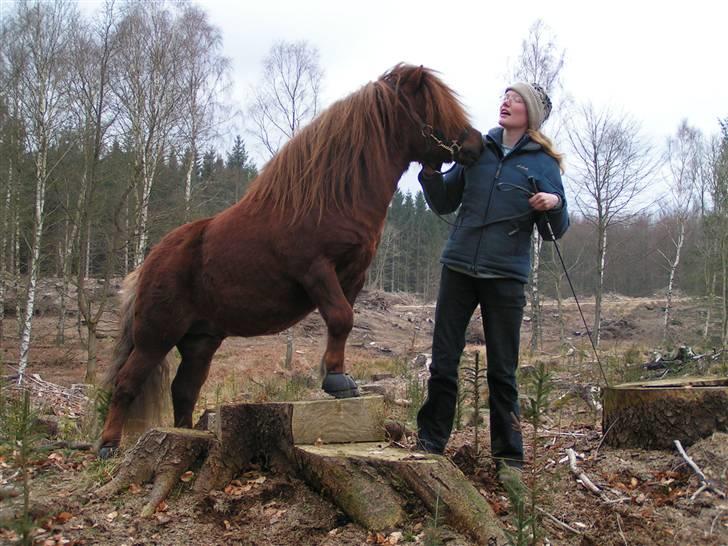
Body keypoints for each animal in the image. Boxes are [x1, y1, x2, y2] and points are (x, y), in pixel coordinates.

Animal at [98, 62, 484, 454]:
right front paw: (336, 381)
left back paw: (188, 435)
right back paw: (108, 445)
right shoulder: (316, 270)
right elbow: (340, 318)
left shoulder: (353, 276)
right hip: (156, 335)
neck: (331, 197)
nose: (477, 145)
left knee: (185, 388)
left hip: (200, 340)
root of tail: (148, 263)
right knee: (127, 382)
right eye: (434, 108)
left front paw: (335, 375)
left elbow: (342, 322)